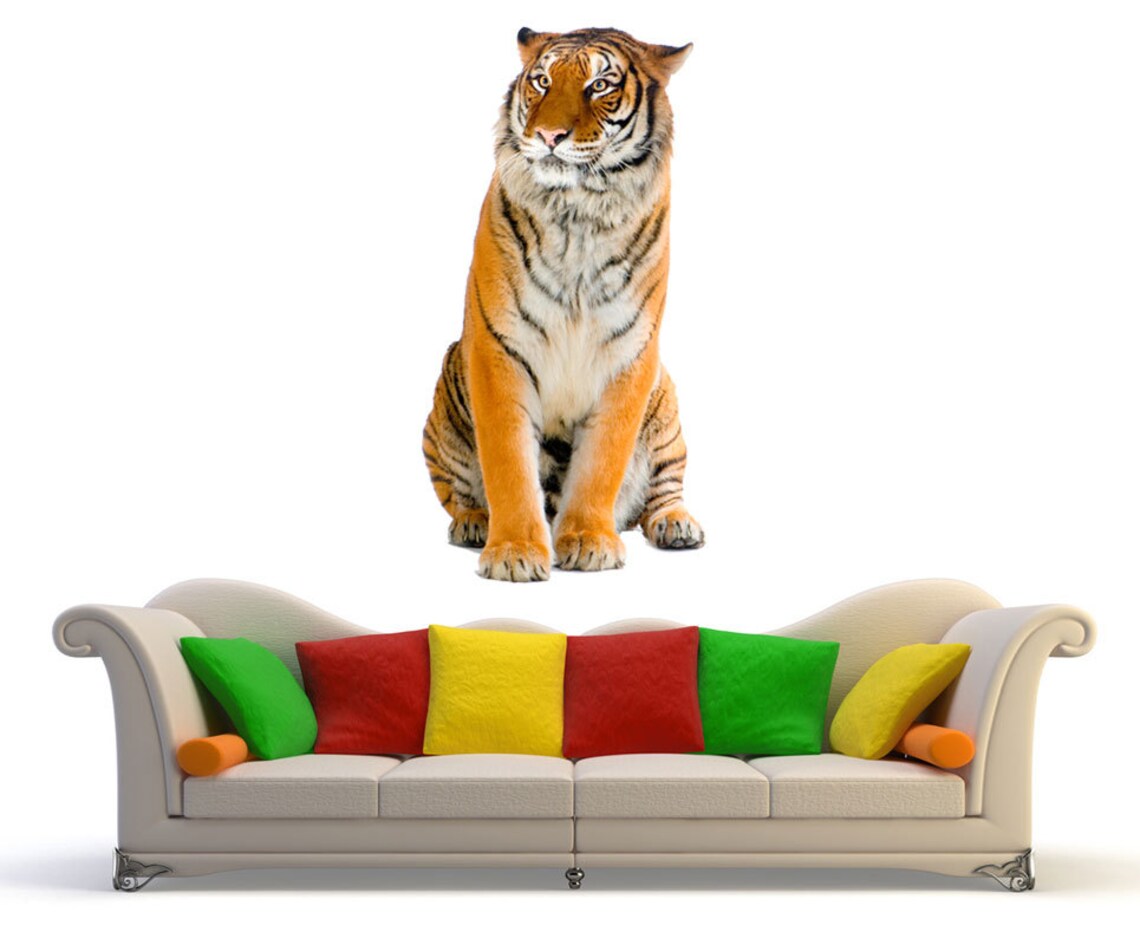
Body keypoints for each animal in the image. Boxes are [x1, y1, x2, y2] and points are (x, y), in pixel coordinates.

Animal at [422, 26, 703, 582]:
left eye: (600, 85)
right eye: (542, 82)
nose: (549, 136)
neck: (578, 212)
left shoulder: (629, 356)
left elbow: (602, 462)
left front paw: (589, 542)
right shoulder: (499, 350)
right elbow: (508, 463)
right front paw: (513, 552)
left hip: (666, 409)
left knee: (663, 490)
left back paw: (677, 525)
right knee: (457, 492)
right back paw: (473, 522)